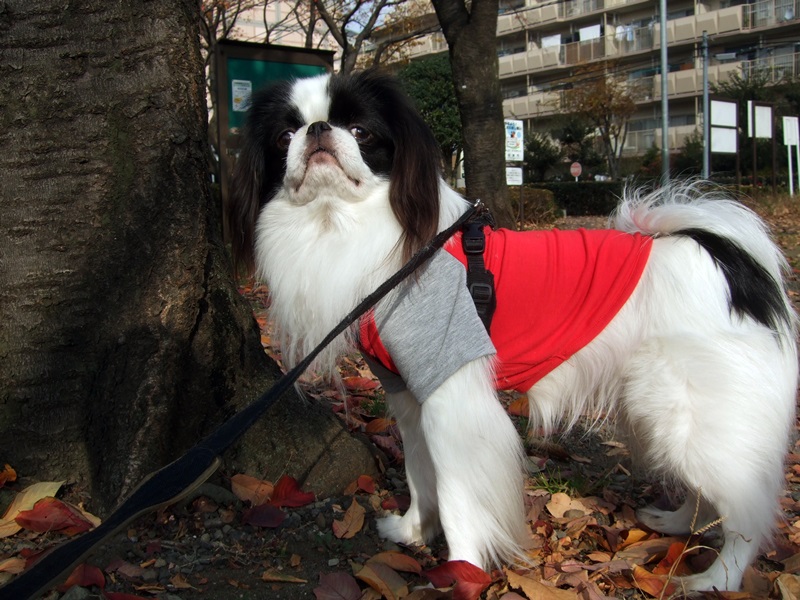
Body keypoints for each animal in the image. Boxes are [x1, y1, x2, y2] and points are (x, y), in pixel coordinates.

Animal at [228, 70, 796, 592]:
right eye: (285, 135)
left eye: (360, 131)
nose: (318, 130)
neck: (344, 227)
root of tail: (735, 264)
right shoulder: (410, 395)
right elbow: (420, 475)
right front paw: (414, 531)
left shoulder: (450, 394)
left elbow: (456, 494)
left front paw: (460, 571)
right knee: (710, 493)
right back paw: (676, 524)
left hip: (688, 413)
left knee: (746, 511)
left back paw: (716, 579)